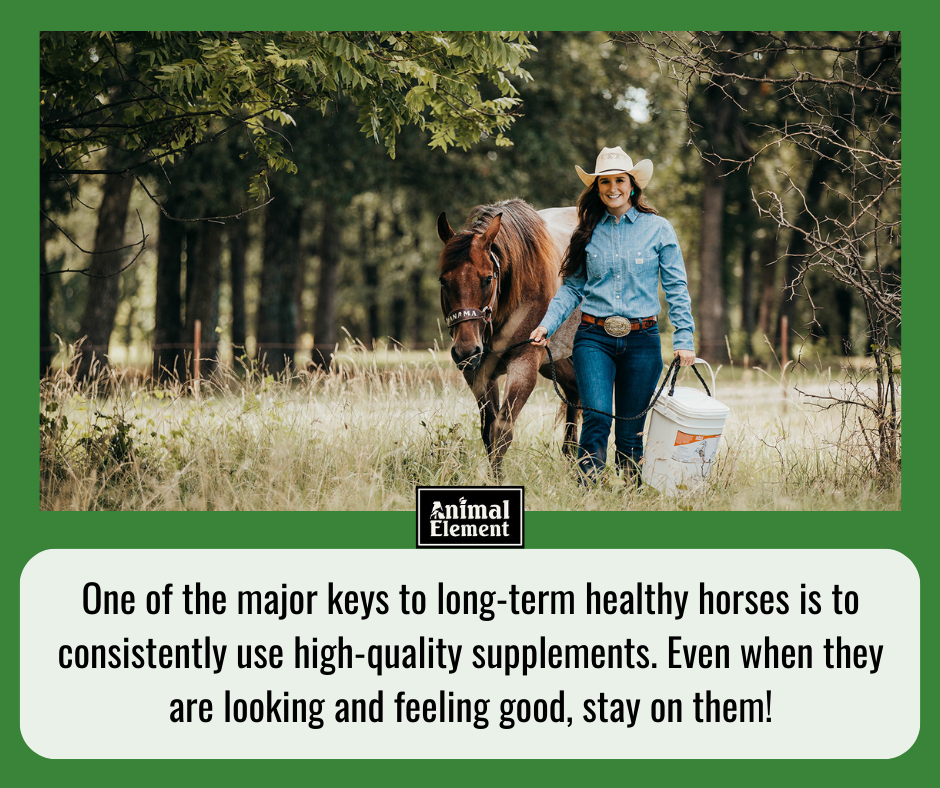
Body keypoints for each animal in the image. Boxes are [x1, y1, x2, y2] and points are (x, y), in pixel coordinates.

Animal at [438, 200, 584, 478]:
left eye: (487, 279)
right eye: (443, 281)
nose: (465, 352)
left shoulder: (524, 365)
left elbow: (502, 431)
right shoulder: (479, 372)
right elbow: (488, 432)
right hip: (555, 360)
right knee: (574, 390)